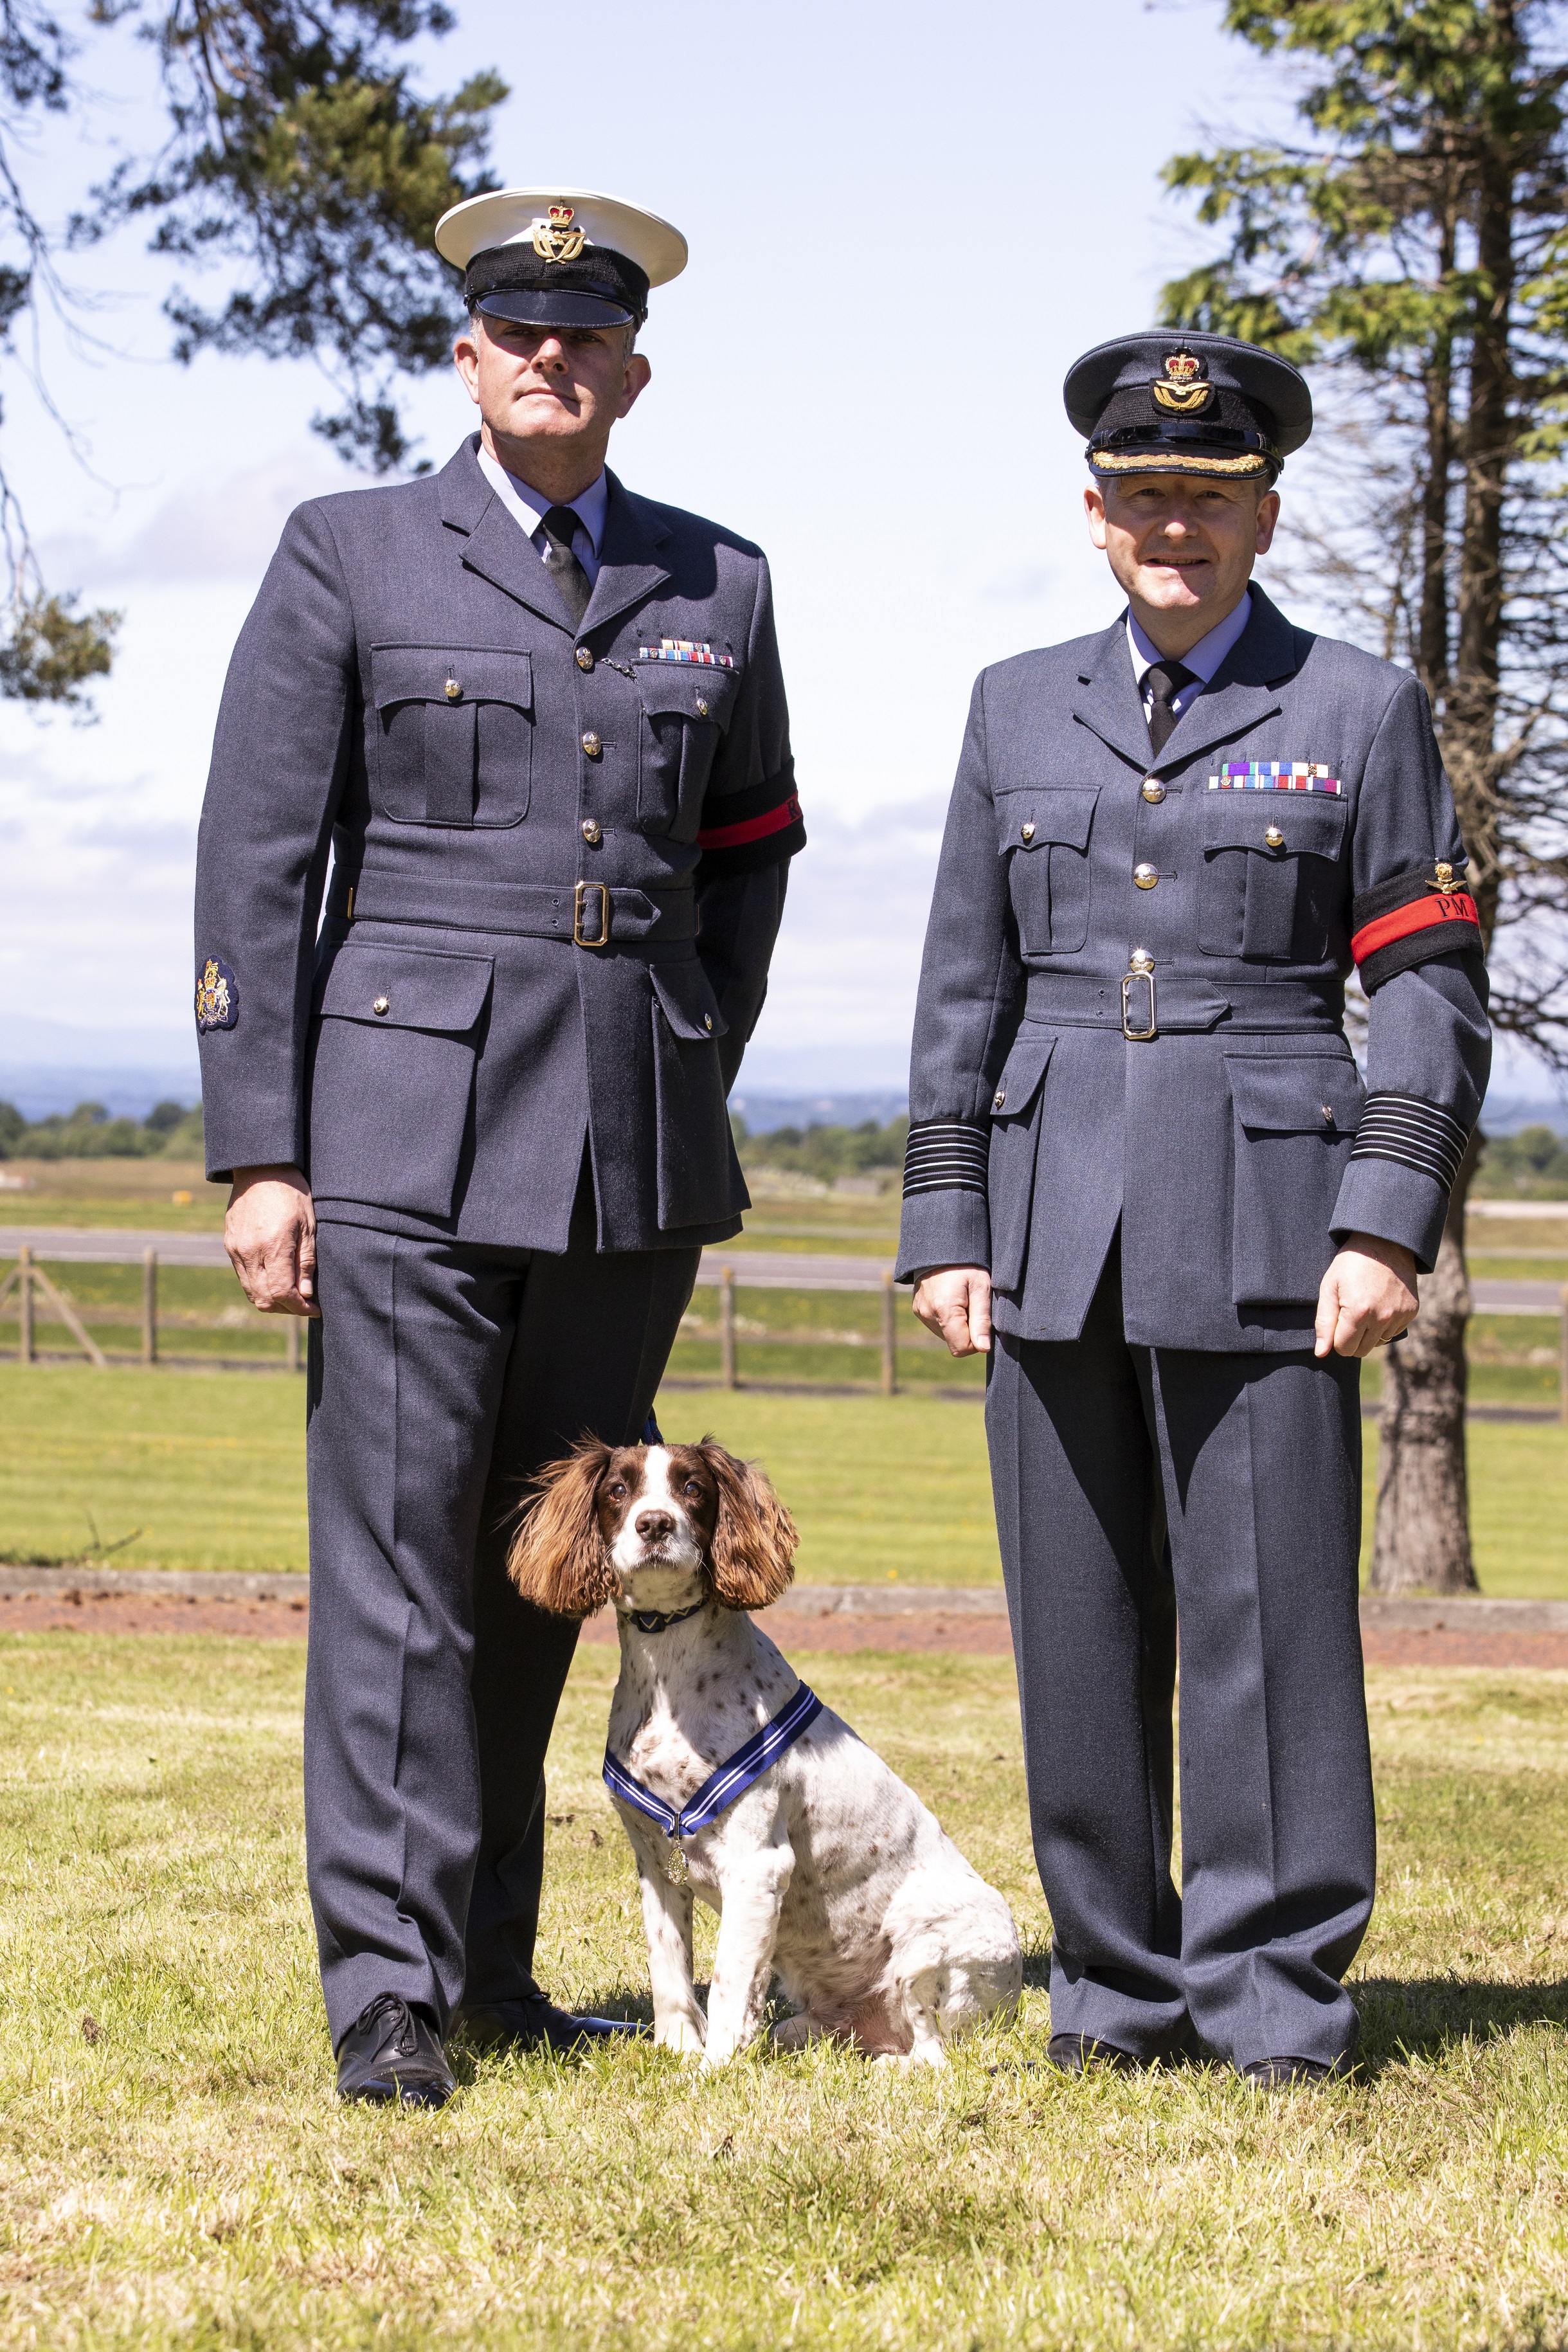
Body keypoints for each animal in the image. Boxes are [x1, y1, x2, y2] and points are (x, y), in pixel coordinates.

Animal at [510, 1439, 1025, 2070]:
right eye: (618, 1490)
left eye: (692, 1488)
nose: (654, 1524)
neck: (668, 1677)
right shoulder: (655, 1864)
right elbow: (669, 1974)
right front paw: (678, 2053)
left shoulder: (756, 1865)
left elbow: (729, 1981)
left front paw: (712, 2071)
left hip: (926, 1940)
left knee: (930, 2054)